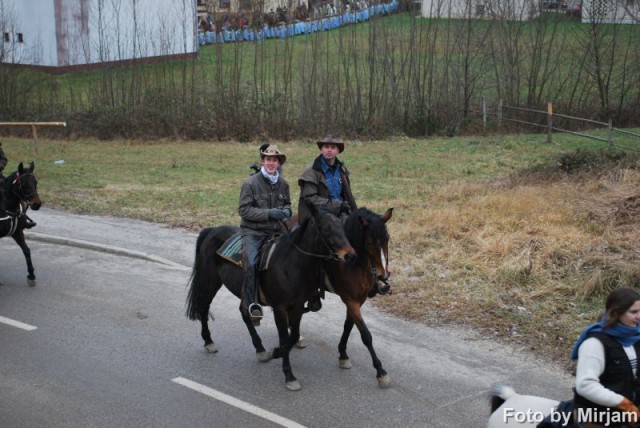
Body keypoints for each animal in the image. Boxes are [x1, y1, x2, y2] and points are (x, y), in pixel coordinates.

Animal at [185, 210, 358, 392]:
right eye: (326, 229)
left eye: (342, 227)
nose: (350, 255)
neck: (290, 265)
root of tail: (211, 230)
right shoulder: (279, 308)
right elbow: (284, 339)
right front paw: (289, 375)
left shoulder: (297, 306)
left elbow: (293, 336)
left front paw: (274, 353)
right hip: (209, 281)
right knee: (204, 308)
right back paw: (209, 342)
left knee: (244, 313)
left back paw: (260, 349)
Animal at [322, 207, 392, 388]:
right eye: (370, 243)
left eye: (387, 239)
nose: (383, 276)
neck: (354, 263)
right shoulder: (350, 300)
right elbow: (366, 335)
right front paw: (380, 371)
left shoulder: (359, 300)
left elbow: (348, 325)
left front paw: (343, 355)